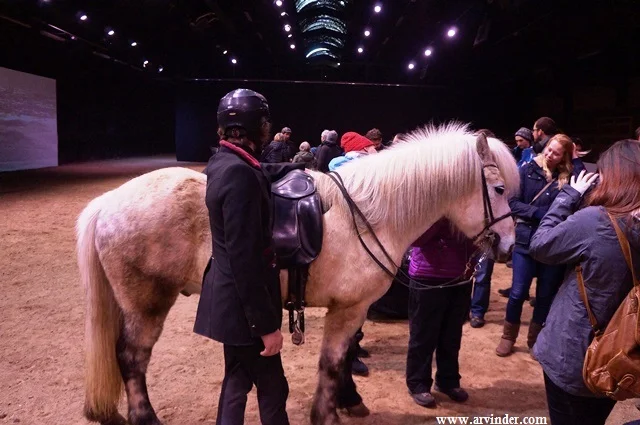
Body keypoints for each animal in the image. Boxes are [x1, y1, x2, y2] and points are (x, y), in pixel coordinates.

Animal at [79, 122, 520, 424]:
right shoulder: (350, 308)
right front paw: (327, 412)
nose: (509, 247)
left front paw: (349, 399)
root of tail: (108, 201)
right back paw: (145, 416)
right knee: (132, 358)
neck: (368, 214)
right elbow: (332, 362)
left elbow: (346, 357)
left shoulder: (349, 308)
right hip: (147, 304)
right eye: (499, 190)